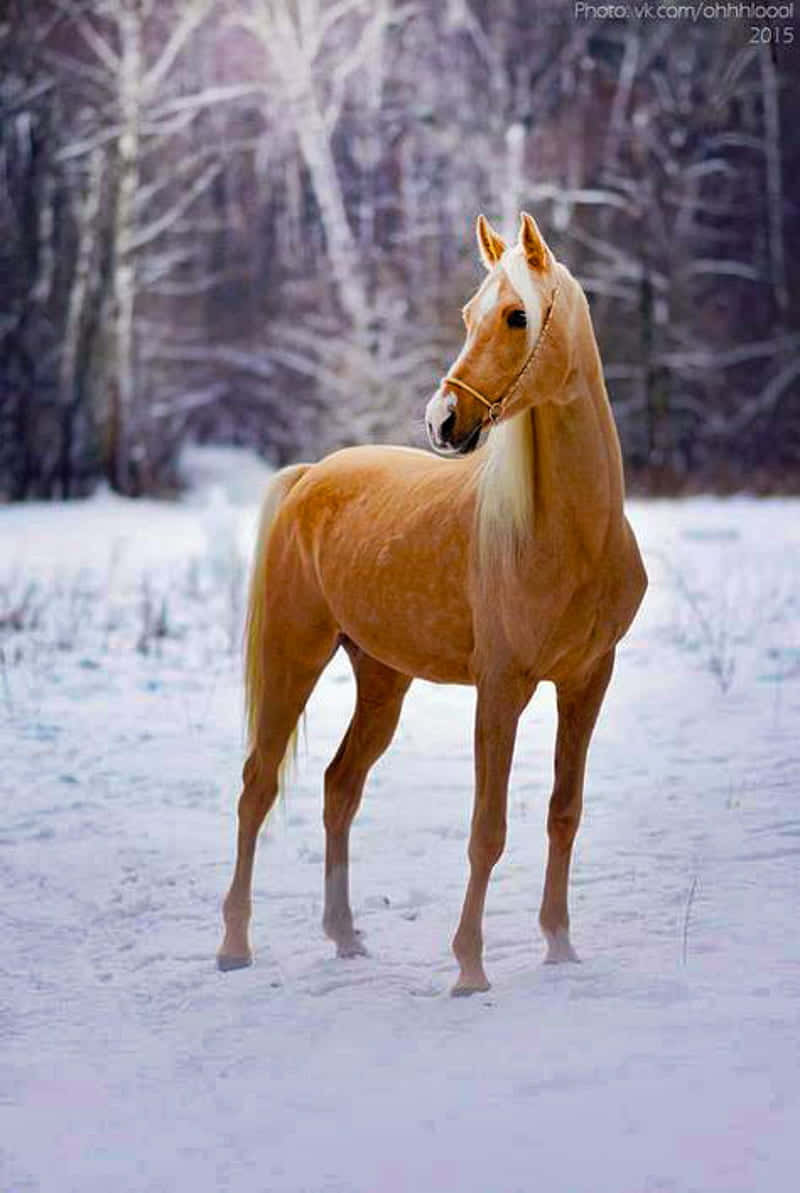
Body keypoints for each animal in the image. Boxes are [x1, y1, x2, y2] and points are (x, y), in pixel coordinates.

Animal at [217, 211, 647, 995]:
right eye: (468, 315)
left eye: (517, 315)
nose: (443, 420)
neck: (569, 534)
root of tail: (310, 476)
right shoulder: (502, 690)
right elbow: (488, 830)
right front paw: (470, 967)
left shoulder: (587, 681)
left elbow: (563, 812)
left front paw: (560, 944)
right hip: (294, 655)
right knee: (257, 785)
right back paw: (234, 944)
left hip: (382, 678)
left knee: (339, 786)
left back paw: (345, 936)